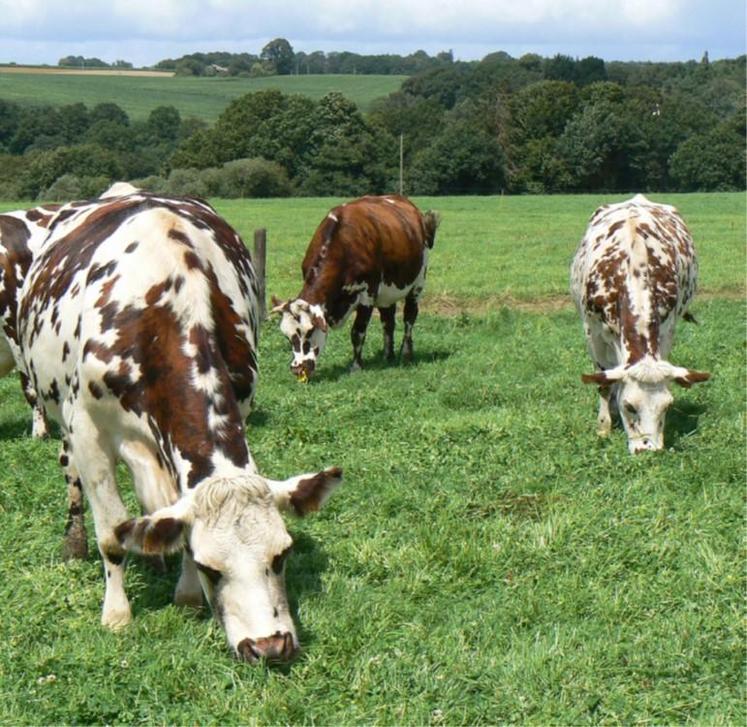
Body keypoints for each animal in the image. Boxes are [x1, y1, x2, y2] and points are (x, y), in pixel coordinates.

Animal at [17, 191, 344, 664]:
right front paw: (117, 614)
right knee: (72, 475)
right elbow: (112, 533)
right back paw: (75, 542)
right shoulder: (88, 431)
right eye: (212, 567)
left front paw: (186, 593)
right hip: (59, 411)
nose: (269, 646)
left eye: (282, 554)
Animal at [274, 196, 438, 384]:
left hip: (417, 284)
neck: (343, 244)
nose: (297, 368)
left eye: (309, 332)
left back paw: (406, 353)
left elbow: (358, 332)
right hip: (386, 293)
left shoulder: (367, 294)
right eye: (287, 336)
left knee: (409, 317)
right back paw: (388, 356)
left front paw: (356, 366)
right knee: (388, 321)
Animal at [568, 195, 712, 456]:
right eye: (630, 406)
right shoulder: (593, 333)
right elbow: (603, 382)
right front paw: (603, 427)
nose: (649, 450)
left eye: (667, 406)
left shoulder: (666, 330)